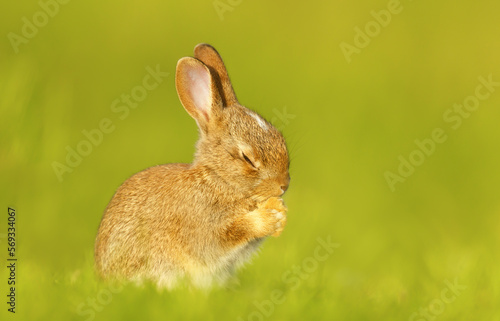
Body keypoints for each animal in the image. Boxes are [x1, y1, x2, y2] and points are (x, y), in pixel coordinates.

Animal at [94, 43, 292, 288]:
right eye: (247, 158)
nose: (283, 185)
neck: (219, 179)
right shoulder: (204, 229)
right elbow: (227, 235)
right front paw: (270, 217)